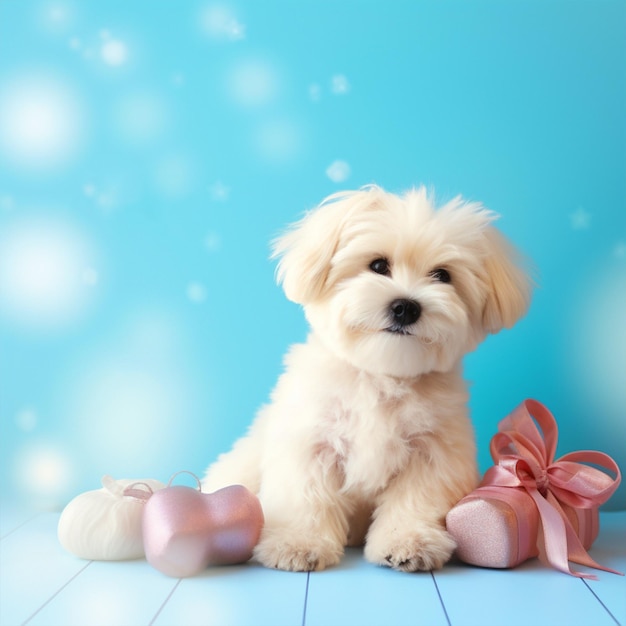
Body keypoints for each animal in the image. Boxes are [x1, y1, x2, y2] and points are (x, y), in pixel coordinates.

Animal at [202, 185, 528, 572]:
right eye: (377, 265)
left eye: (442, 275)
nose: (405, 306)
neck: (381, 375)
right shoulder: (312, 444)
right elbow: (307, 498)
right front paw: (299, 543)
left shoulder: (432, 454)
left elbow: (414, 500)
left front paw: (408, 541)